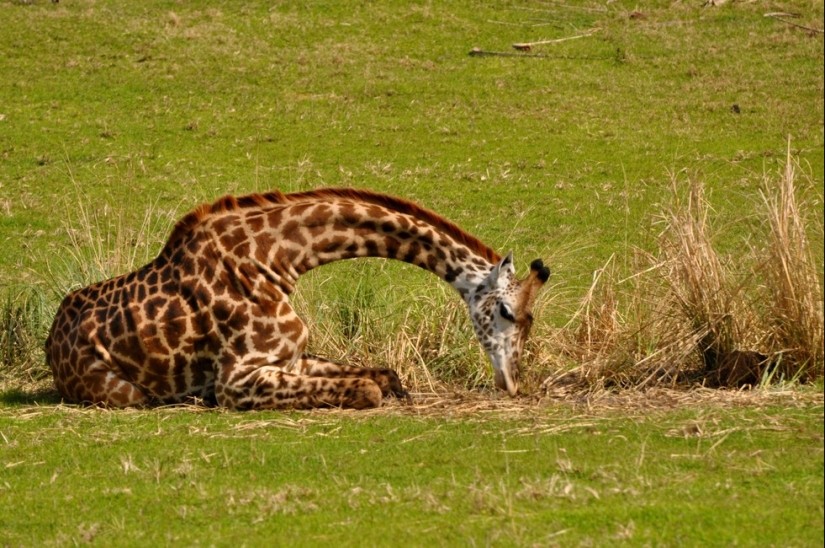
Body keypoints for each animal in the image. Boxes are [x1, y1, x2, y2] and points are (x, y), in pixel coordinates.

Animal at [45, 188, 550, 410]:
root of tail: (51, 343)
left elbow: (384, 375)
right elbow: (367, 389)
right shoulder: (236, 379)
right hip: (125, 393)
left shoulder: (291, 358)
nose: (512, 383)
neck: (273, 259)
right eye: (507, 312)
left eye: (530, 321)